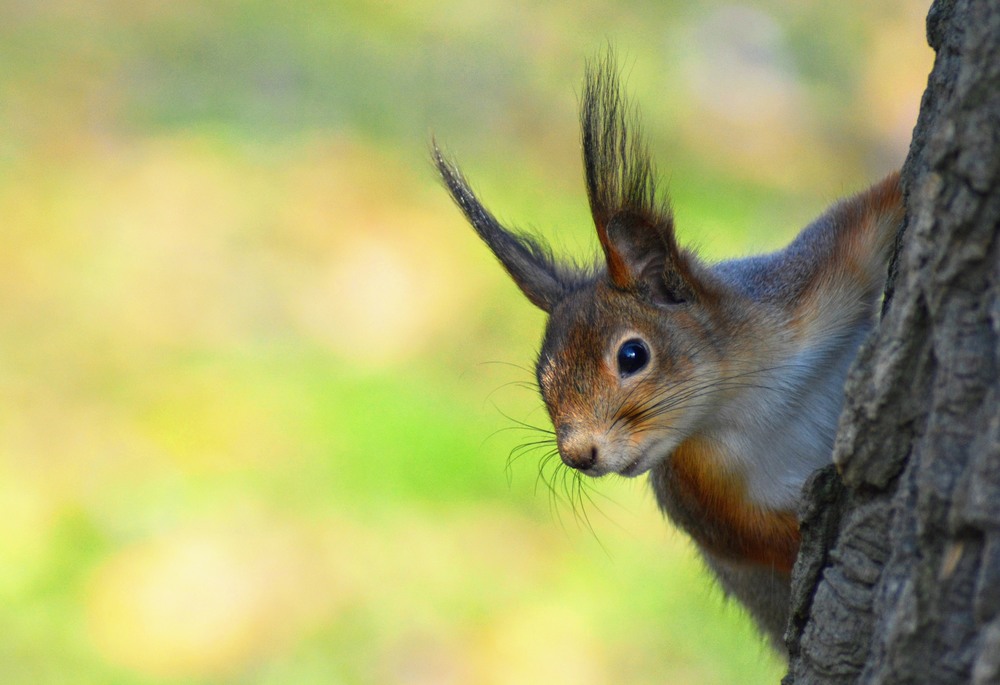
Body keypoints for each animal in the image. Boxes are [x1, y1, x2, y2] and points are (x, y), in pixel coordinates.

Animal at [434, 52, 904, 648]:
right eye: (542, 382)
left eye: (632, 356)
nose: (577, 455)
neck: (747, 398)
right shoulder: (700, 495)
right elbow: (760, 541)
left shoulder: (811, 283)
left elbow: (872, 211)